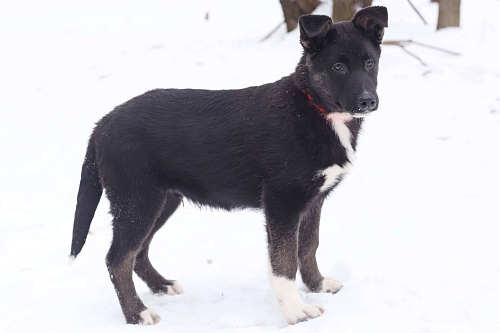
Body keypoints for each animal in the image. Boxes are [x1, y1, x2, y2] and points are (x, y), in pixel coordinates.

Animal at [70, 7, 388, 324]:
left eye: (369, 63)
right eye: (338, 67)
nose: (368, 101)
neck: (315, 107)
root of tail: (104, 123)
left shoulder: (313, 200)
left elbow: (308, 247)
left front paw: (317, 286)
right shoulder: (282, 201)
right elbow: (284, 262)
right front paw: (296, 312)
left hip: (162, 201)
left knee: (138, 252)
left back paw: (161, 286)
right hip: (136, 201)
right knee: (117, 259)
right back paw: (138, 314)